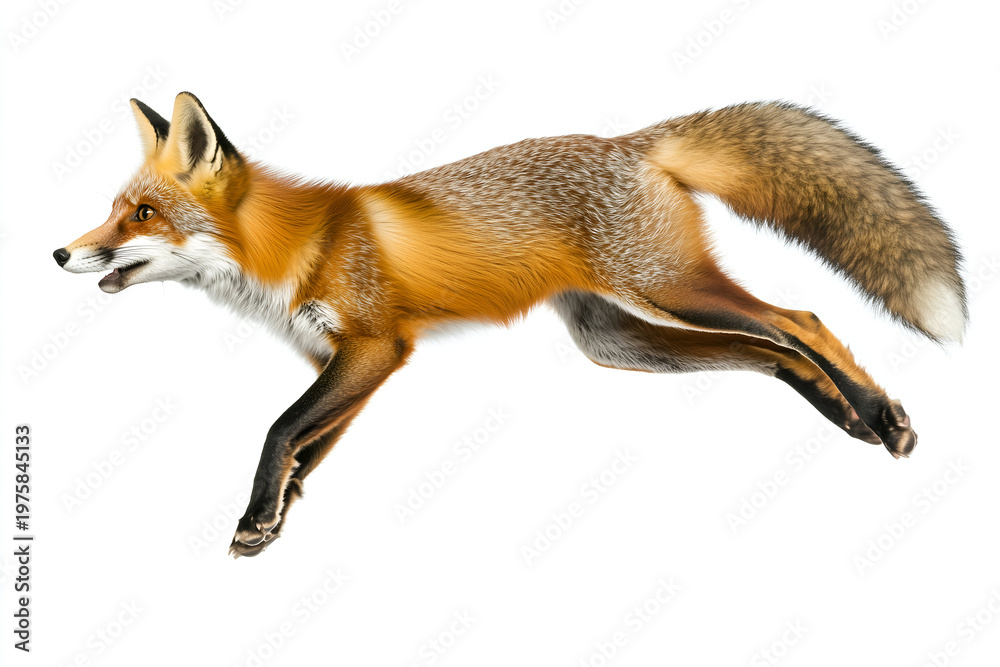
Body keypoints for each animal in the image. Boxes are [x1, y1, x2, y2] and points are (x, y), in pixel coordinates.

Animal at [55, 92, 966, 557]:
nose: (62, 252)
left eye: (140, 214)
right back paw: (852, 416)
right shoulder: (352, 361)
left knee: (800, 319)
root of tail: (627, 140)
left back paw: (880, 414)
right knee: (768, 348)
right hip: (621, 337)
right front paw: (274, 517)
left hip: (668, 290)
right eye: (115, 209)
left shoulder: (377, 344)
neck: (295, 248)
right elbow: (312, 441)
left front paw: (255, 514)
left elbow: (281, 427)